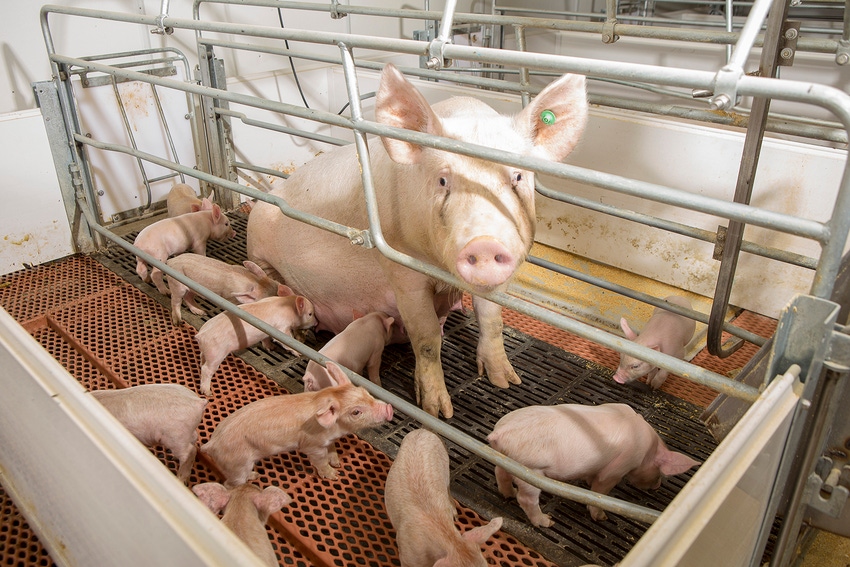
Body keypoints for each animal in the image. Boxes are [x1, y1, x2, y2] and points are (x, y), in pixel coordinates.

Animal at [201, 362, 394, 486]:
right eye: (356, 412)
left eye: (365, 392)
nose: (389, 408)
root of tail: (211, 444)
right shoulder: (312, 446)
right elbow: (320, 461)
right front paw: (335, 475)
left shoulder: (329, 441)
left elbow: (332, 450)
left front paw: (337, 463)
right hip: (237, 464)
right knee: (230, 484)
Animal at [248, 64, 588, 420]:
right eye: (442, 180)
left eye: (517, 177)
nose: (485, 243)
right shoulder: (401, 268)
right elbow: (425, 338)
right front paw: (437, 411)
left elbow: (492, 320)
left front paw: (506, 382)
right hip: (258, 248)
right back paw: (298, 331)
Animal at [484, 402, 696, 524]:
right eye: (659, 471)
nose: (658, 485)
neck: (648, 450)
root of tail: (499, 432)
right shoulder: (617, 469)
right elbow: (600, 489)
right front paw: (602, 517)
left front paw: (587, 481)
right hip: (531, 471)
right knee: (526, 499)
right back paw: (547, 522)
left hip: (504, 458)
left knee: (499, 473)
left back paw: (509, 494)